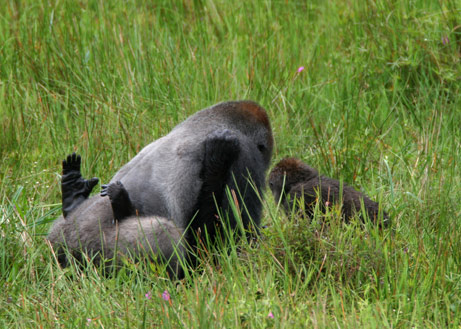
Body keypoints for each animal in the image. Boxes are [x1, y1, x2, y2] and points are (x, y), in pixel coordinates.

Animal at [47, 100, 274, 276]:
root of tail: (68, 244)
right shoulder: (245, 155)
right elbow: (225, 242)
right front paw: (217, 160)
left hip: (59, 236)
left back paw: (73, 194)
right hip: (98, 249)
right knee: (162, 232)